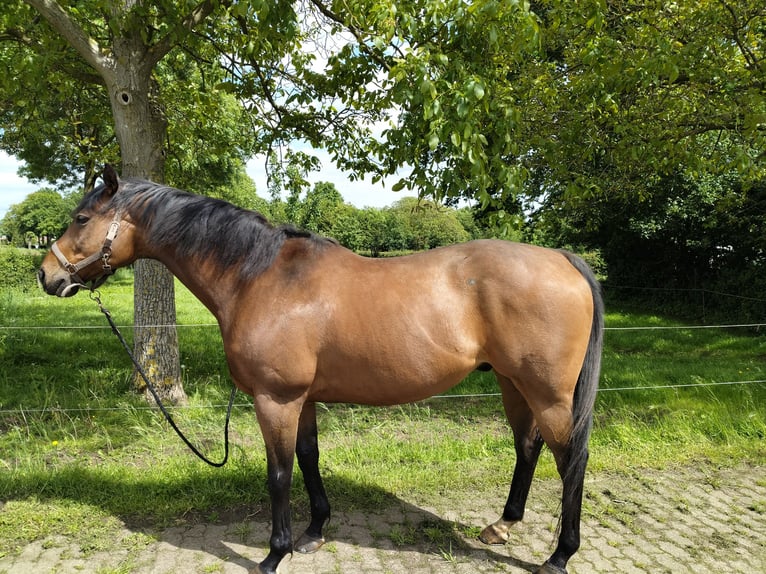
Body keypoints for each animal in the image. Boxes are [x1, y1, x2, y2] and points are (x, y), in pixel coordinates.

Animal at [38, 165, 603, 574]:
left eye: (82, 218)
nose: (46, 276)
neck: (259, 277)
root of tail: (561, 258)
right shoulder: (302, 399)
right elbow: (309, 460)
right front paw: (313, 534)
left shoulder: (276, 399)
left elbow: (279, 474)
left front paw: (273, 554)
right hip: (514, 385)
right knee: (528, 448)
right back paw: (503, 526)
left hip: (548, 394)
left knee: (571, 460)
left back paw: (559, 556)